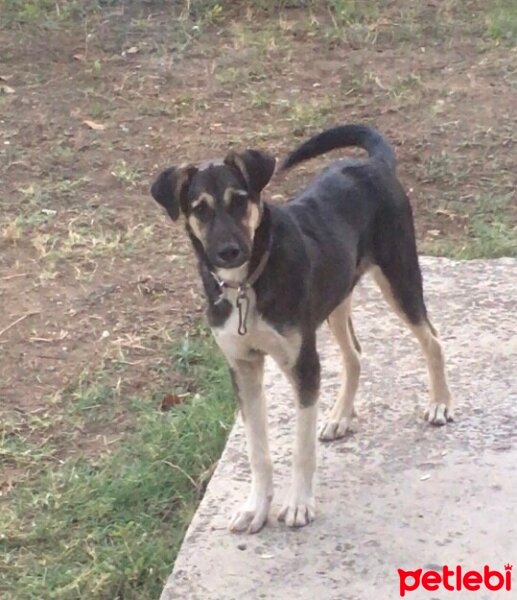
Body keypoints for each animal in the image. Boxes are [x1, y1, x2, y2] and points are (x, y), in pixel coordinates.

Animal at [149, 125, 452, 536]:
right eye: (200, 209)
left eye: (239, 201)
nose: (228, 252)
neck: (247, 283)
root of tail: (373, 164)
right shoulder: (243, 368)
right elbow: (257, 450)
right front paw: (256, 508)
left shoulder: (303, 365)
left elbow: (301, 447)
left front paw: (298, 505)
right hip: (336, 299)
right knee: (354, 355)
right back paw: (340, 416)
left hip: (399, 276)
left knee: (432, 339)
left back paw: (440, 403)